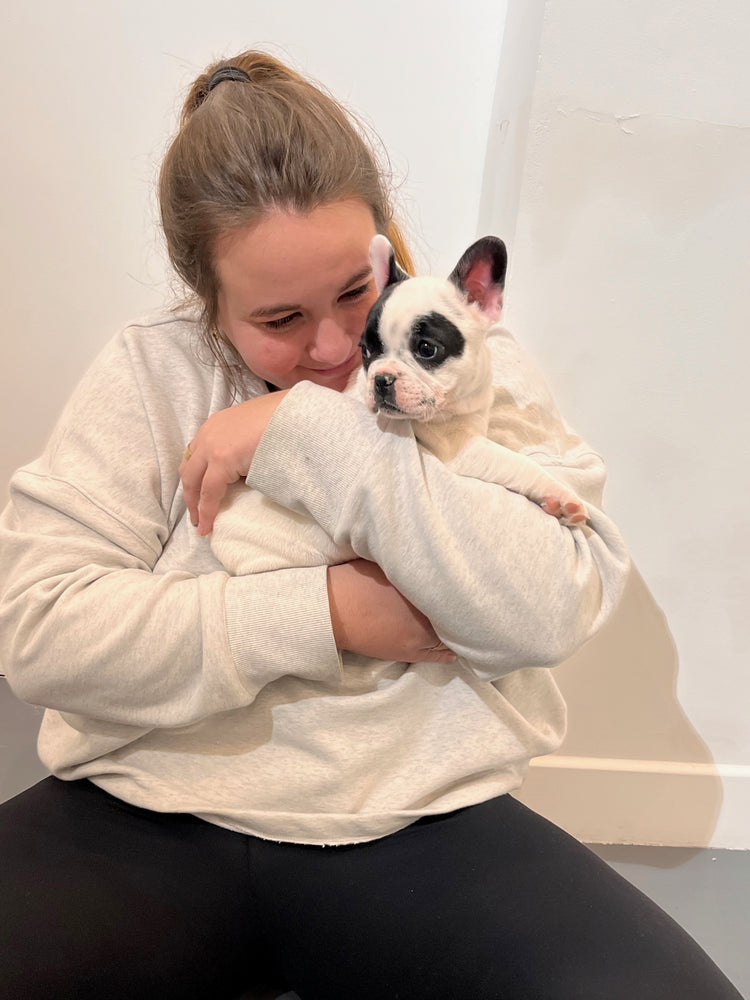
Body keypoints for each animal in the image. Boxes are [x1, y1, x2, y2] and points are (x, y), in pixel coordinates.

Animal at [212, 236, 588, 580]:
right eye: (366, 351)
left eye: (426, 349)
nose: (381, 378)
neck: (458, 406)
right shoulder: (461, 450)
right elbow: (516, 462)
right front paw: (559, 495)